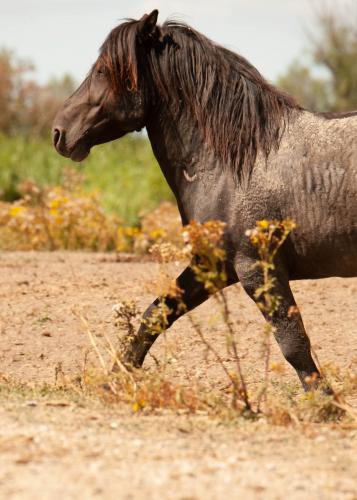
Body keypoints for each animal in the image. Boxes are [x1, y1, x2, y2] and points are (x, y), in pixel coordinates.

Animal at [52, 8, 356, 390]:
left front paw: (323, 401)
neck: (235, 164)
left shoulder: (258, 268)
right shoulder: (212, 265)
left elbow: (294, 342)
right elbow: (155, 314)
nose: (60, 132)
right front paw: (115, 380)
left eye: (104, 70)